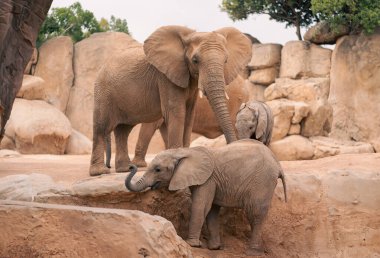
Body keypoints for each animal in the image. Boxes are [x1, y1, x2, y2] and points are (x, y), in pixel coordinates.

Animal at [90, 25, 251, 175]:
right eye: (195, 60)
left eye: (226, 60)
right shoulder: (165, 78)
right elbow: (176, 113)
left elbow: (188, 116)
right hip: (104, 92)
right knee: (103, 127)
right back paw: (101, 172)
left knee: (123, 129)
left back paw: (126, 169)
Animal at [124, 139, 284, 256]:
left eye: (158, 169)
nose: (131, 167)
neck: (183, 151)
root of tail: (277, 163)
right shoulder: (210, 180)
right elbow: (211, 210)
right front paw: (214, 248)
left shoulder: (208, 180)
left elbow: (201, 206)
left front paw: (192, 244)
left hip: (262, 182)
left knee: (255, 214)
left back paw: (253, 253)